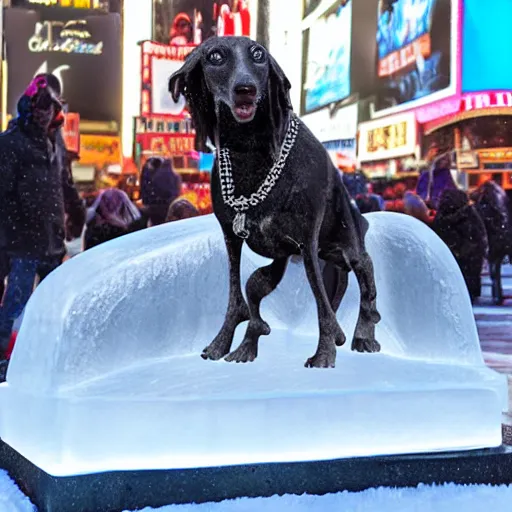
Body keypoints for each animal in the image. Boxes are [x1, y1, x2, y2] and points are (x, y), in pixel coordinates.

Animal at [170, 39, 382, 368]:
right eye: (215, 56)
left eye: (258, 55)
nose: (245, 89)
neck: (249, 149)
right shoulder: (231, 236)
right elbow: (236, 296)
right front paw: (222, 344)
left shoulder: (307, 240)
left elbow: (321, 302)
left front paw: (324, 354)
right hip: (280, 265)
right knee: (256, 291)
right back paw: (248, 345)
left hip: (349, 245)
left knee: (366, 283)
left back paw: (363, 336)